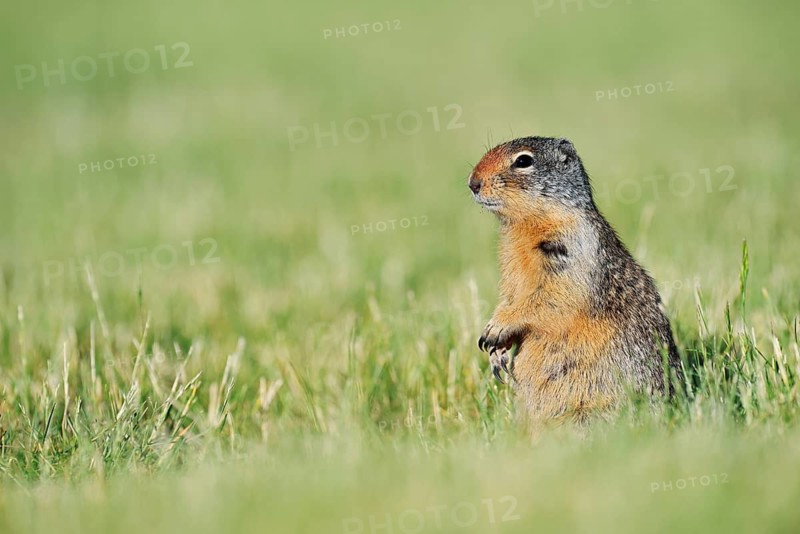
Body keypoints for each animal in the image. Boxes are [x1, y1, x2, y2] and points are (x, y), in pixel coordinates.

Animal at [468, 136, 682, 425]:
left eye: (523, 161)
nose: (472, 183)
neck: (524, 226)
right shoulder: (510, 270)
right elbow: (510, 296)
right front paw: (496, 351)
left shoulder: (572, 251)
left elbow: (549, 297)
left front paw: (496, 329)